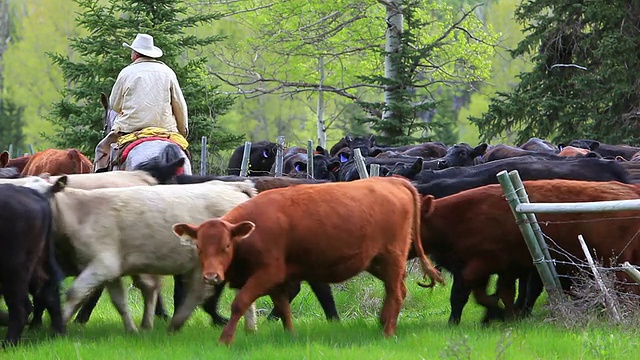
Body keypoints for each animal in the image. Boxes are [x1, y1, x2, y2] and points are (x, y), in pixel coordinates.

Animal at [0, 179, 66, 346]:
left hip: (14, 267)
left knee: (21, 306)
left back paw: (9, 343)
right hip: (38, 262)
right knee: (48, 292)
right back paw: (58, 333)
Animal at [51, 181, 258, 334]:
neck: (81, 211)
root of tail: (233, 186)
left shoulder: (103, 265)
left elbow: (75, 293)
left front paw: (58, 325)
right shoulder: (110, 271)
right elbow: (119, 300)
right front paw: (132, 329)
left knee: (200, 293)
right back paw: (248, 328)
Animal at [175, 176, 444, 344]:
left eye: (226, 246)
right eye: (199, 246)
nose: (211, 276)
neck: (254, 230)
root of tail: (392, 180)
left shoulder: (266, 274)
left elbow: (239, 304)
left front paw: (225, 339)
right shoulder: (276, 281)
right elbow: (283, 307)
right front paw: (290, 334)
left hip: (392, 259)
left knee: (396, 294)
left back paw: (387, 331)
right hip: (377, 262)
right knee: (395, 290)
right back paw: (382, 321)